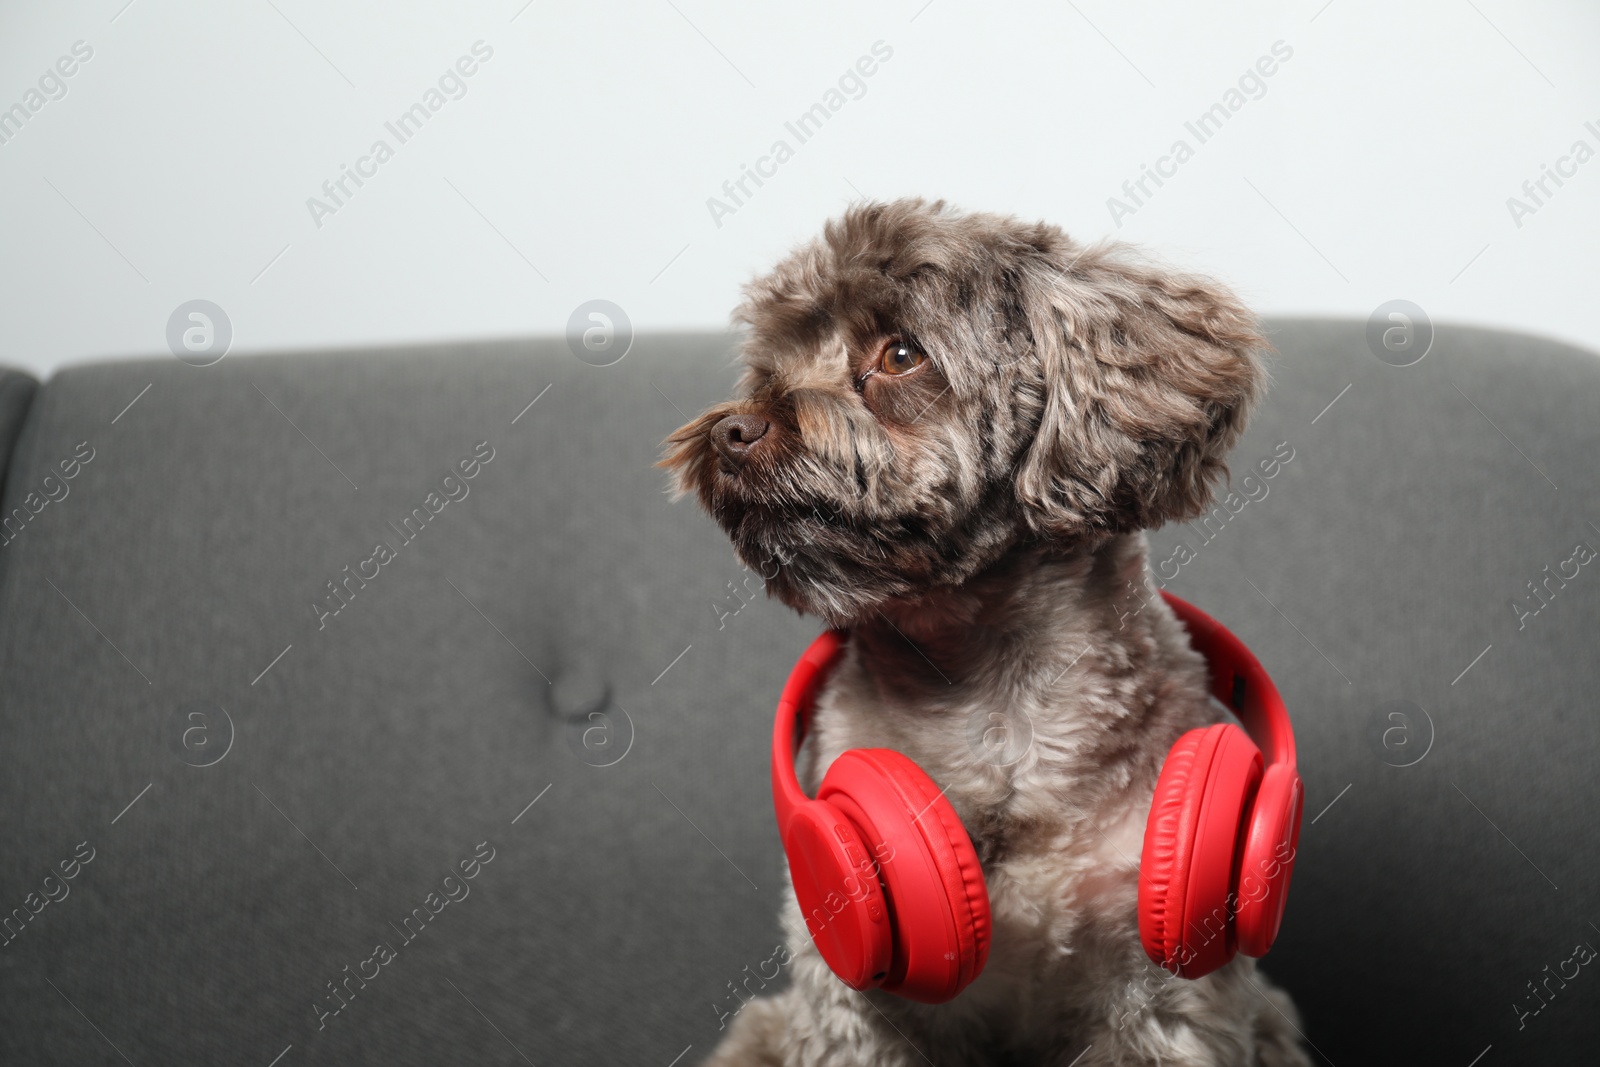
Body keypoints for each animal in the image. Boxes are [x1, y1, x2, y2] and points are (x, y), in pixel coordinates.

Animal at [662, 199, 1312, 1067]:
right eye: (771, 363)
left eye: (901, 354)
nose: (734, 429)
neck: (991, 702)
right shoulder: (854, 999)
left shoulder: (1163, 991)